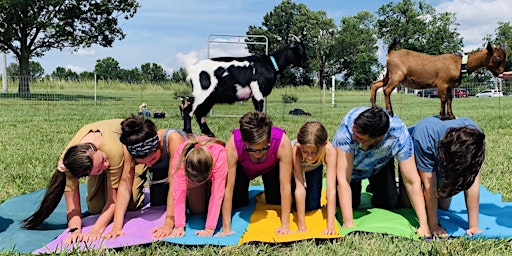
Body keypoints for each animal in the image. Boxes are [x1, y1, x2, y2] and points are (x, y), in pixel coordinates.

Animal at [180, 35, 308, 138]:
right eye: (299, 49)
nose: (307, 62)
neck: (270, 63)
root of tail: (192, 71)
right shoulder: (257, 90)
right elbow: (259, 110)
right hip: (202, 93)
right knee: (188, 111)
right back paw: (189, 132)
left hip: (210, 97)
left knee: (200, 114)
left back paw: (210, 134)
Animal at [370, 37, 506, 120]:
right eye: (497, 58)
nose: (501, 72)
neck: (459, 64)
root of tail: (392, 52)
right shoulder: (441, 83)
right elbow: (443, 99)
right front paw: (442, 116)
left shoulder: (450, 86)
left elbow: (450, 100)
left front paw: (451, 116)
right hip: (397, 74)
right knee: (387, 90)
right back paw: (390, 111)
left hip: (389, 74)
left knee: (375, 84)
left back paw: (374, 106)